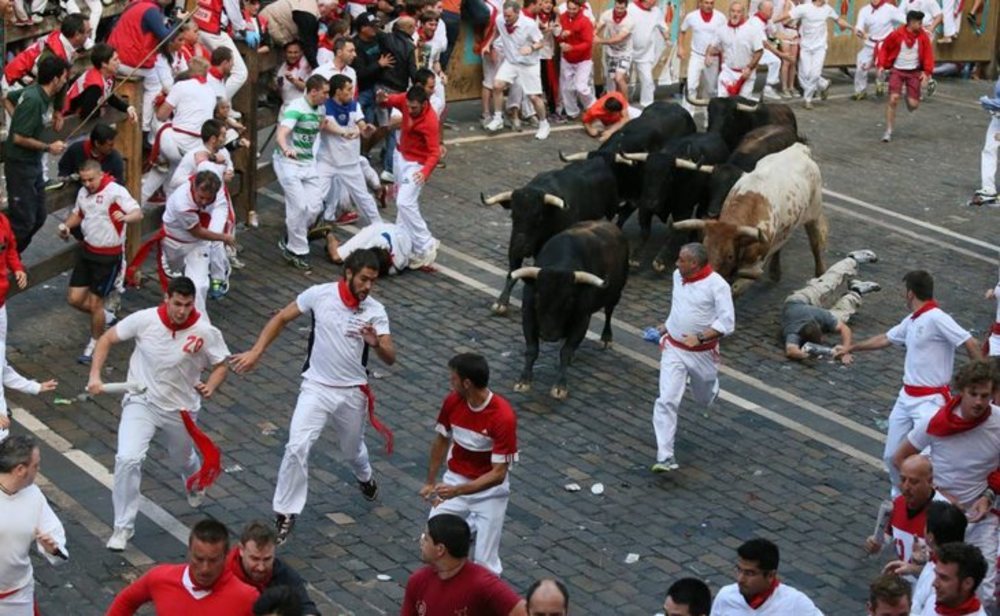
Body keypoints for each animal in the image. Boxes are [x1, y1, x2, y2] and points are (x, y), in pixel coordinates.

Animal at [480, 156, 620, 316]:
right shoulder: (514, 244)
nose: (520, 247)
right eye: (513, 215)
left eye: (538, 217)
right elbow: (512, 272)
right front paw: (501, 302)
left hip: (610, 212)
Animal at [512, 220, 628, 400]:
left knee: (609, 312)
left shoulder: (582, 320)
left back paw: (606, 338)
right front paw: (523, 381)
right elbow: (532, 349)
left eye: (569, 301)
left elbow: (565, 352)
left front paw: (560, 387)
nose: (548, 335)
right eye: (537, 297)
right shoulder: (528, 315)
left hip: (616, 293)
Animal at [672, 145, 828, 298]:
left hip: (814, 215)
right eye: (705, 248)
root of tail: (799, 148)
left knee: (816, 245)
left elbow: (734, 290)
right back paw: (775, 272)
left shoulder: (754, 268)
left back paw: (820, 275)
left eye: (730, 256)